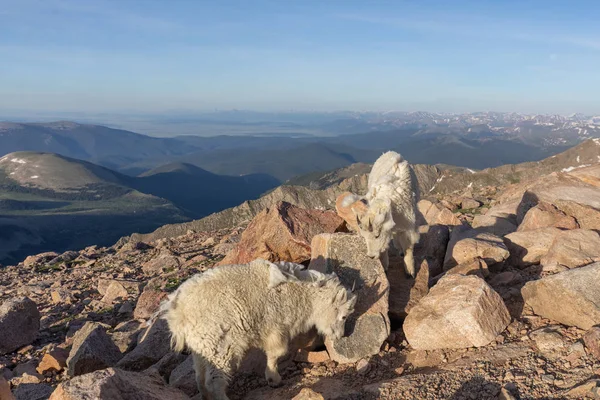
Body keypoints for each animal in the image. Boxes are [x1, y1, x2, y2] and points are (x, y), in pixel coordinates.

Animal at [159, 258, 356, 398]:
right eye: (344, 316)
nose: (340, 336)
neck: (300, 293)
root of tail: (178, 312)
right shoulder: (275, 326)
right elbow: (277, 352)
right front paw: (274, 379)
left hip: (201, 345)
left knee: (199, 376)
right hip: (219, 344)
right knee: (213, 381)